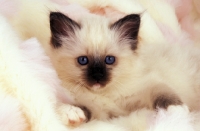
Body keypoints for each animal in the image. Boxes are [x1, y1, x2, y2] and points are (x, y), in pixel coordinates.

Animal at [48, 11, 200, 120]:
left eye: (109, 59)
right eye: (83, 60)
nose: (98, 76)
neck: (107, 94)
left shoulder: (147, 87)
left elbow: (162, 91)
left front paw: (175, 110)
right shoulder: (103, 112)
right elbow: (85, 108)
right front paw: (70, 112)